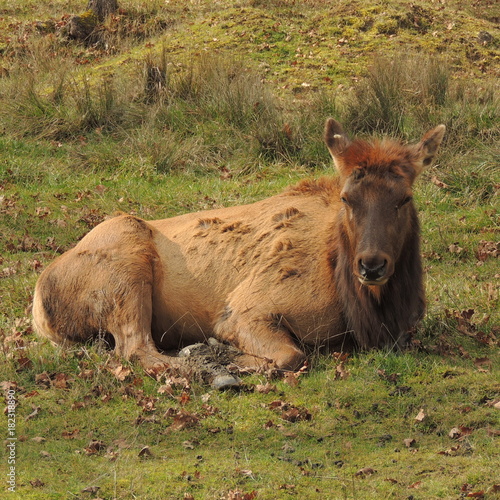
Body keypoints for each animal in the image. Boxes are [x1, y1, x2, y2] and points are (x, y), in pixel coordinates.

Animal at [31, 119, 446, 384]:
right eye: (347, 198)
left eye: (405, 198)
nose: (371, 265)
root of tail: (38, 303)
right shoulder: (245, 308)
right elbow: (293, 356)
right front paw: (223, 356)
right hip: (126, 265)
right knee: (135, 348)